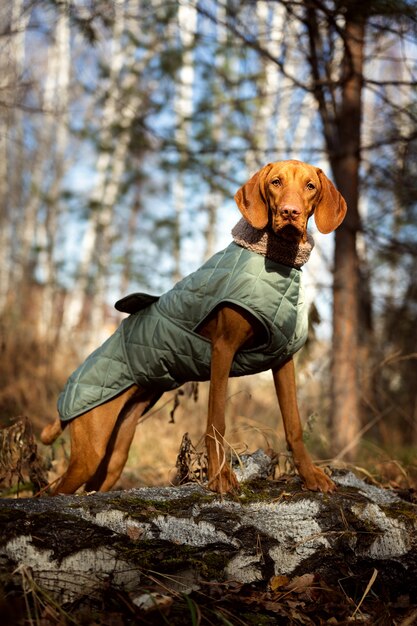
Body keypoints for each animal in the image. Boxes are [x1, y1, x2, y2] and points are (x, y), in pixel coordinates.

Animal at [40, 160, 346, 492]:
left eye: (310, 186)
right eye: (276, 182)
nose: (291, 212)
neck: (276, 260)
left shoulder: (282, 358)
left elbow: (294, 424)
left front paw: (311, 476)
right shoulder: (223, 348)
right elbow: (216, 421)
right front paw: (219, 477)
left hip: (116, 451)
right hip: (91, 447)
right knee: (51, 490)